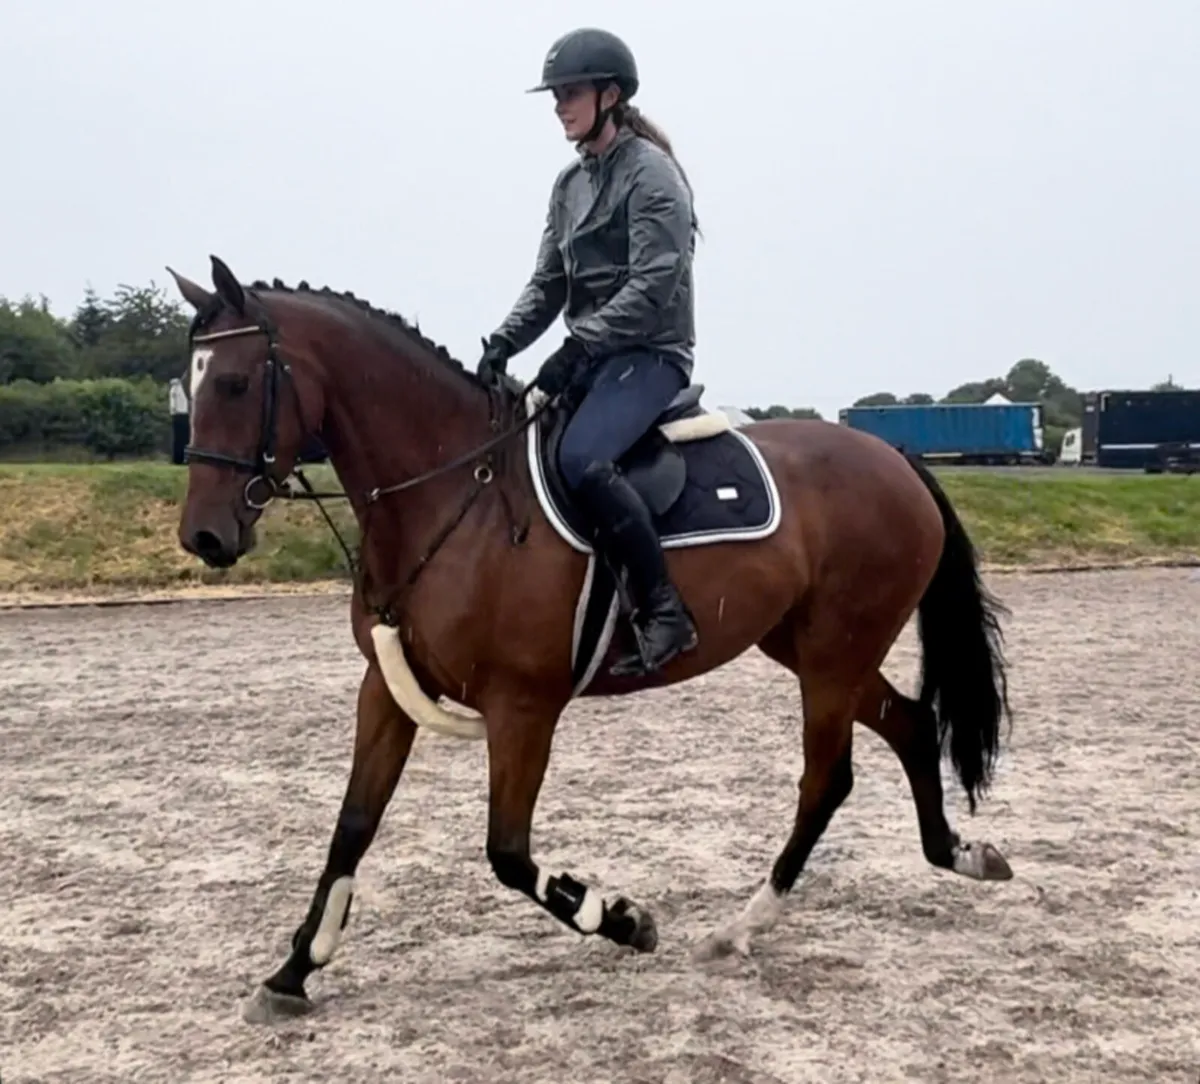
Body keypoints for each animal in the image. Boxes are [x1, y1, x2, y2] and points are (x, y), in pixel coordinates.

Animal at [168, 255, 1014, 1024]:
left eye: (236, 383)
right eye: (191, 380)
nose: (203, 536)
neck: (455, 495)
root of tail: (893, 458)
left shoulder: (522, 709)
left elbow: (507, 852)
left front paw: (622, 919)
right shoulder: (386, 689)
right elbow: (352, 827)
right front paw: (292, 972)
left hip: (835, 656)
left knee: (826, 781)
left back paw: (742, 925)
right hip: (811, 648)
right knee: (912, 724)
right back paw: (959, 854)